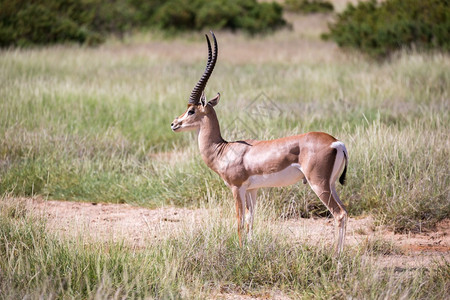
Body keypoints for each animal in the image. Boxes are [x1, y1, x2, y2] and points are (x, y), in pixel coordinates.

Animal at [171, 32, 350, 253]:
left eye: (191, 110)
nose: (174, 124)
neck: (223, 149)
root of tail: (336, 143)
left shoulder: (236, 188)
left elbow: (239, 221)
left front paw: (239, 251)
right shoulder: (252, 190)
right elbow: (250, 220)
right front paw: (248, 249)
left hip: (318, 184)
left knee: (338, 214)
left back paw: (336, 256)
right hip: (331, 184)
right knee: (345, 211)